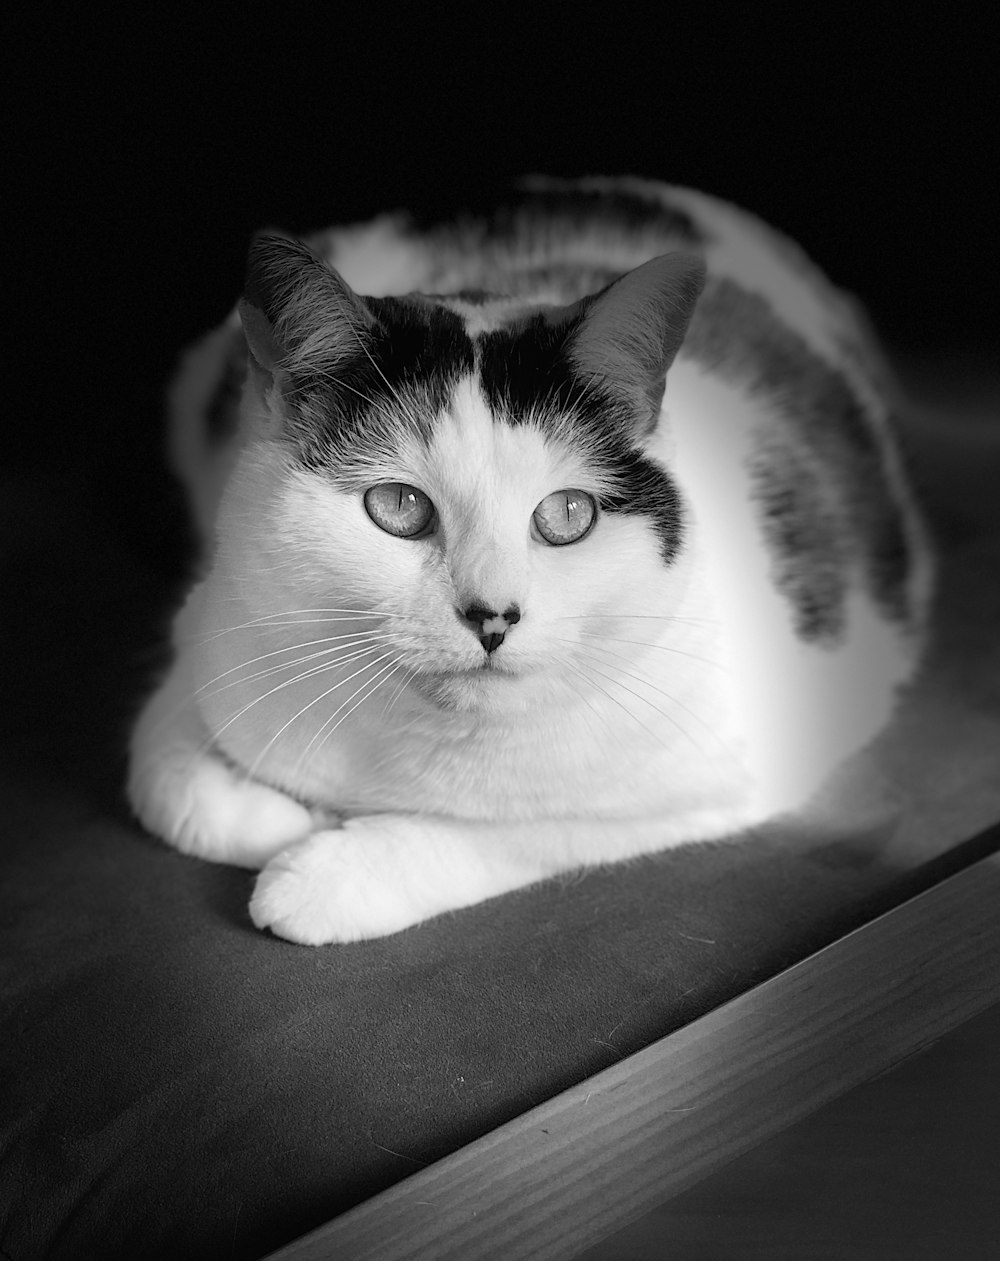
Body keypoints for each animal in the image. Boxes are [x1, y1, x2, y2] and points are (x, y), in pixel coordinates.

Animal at [126, 177, 938, 948]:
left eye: (568, 515)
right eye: (398, 505)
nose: (493, 616)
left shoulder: (723, 778)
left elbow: (517, 832)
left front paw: (328, 870)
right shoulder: (209, 634)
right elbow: (166, 780)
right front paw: (282, 816)